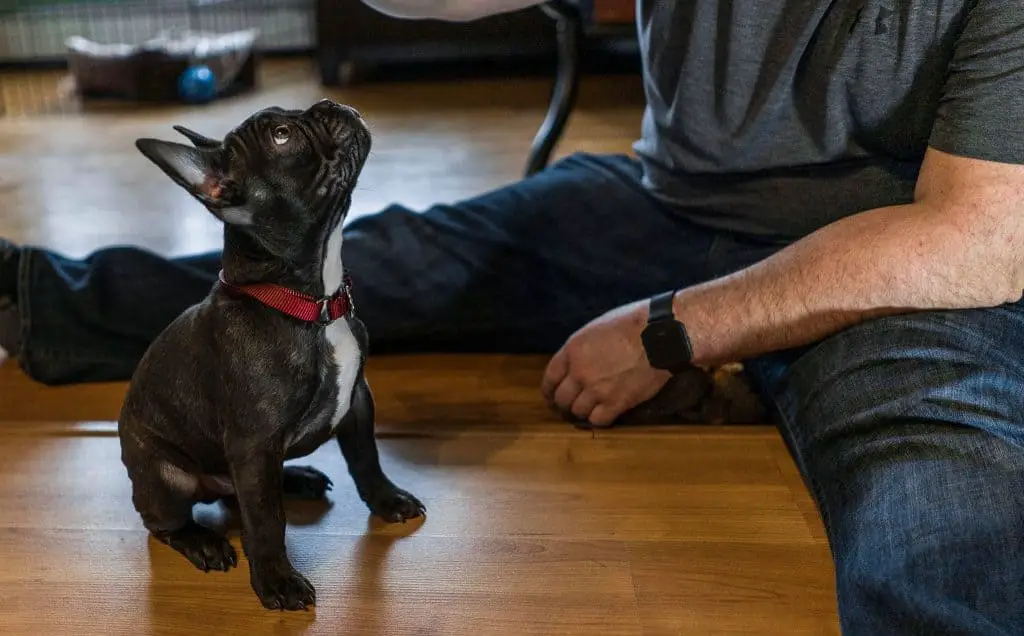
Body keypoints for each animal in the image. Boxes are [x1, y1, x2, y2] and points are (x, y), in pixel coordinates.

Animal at [118, 99, 423, 610]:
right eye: (282, 136)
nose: (328, 104)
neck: (310, 304)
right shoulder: (254, 444)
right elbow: (264, 521)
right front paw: (277, 580)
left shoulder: (358, 400)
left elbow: (366, 457)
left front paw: (387, 500)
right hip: (167, 476)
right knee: (166, 521)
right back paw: (201, 541)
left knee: (236, 496)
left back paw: (296, 478)